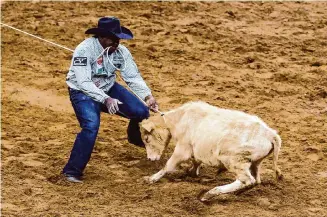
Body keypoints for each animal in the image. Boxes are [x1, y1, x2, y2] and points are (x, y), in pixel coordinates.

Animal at [140, 101, 284, 202]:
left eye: (146, 139)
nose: (149, 159)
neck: (180, 119)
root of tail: (271, 134)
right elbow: (196, 161)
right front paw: (191, 172)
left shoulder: (182, 148)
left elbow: (168, 166)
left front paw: (151, 178)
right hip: (255, 162)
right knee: (255, 181)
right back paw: (236, 192)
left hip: (235, 160)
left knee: (247, 180)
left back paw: (209, 194)